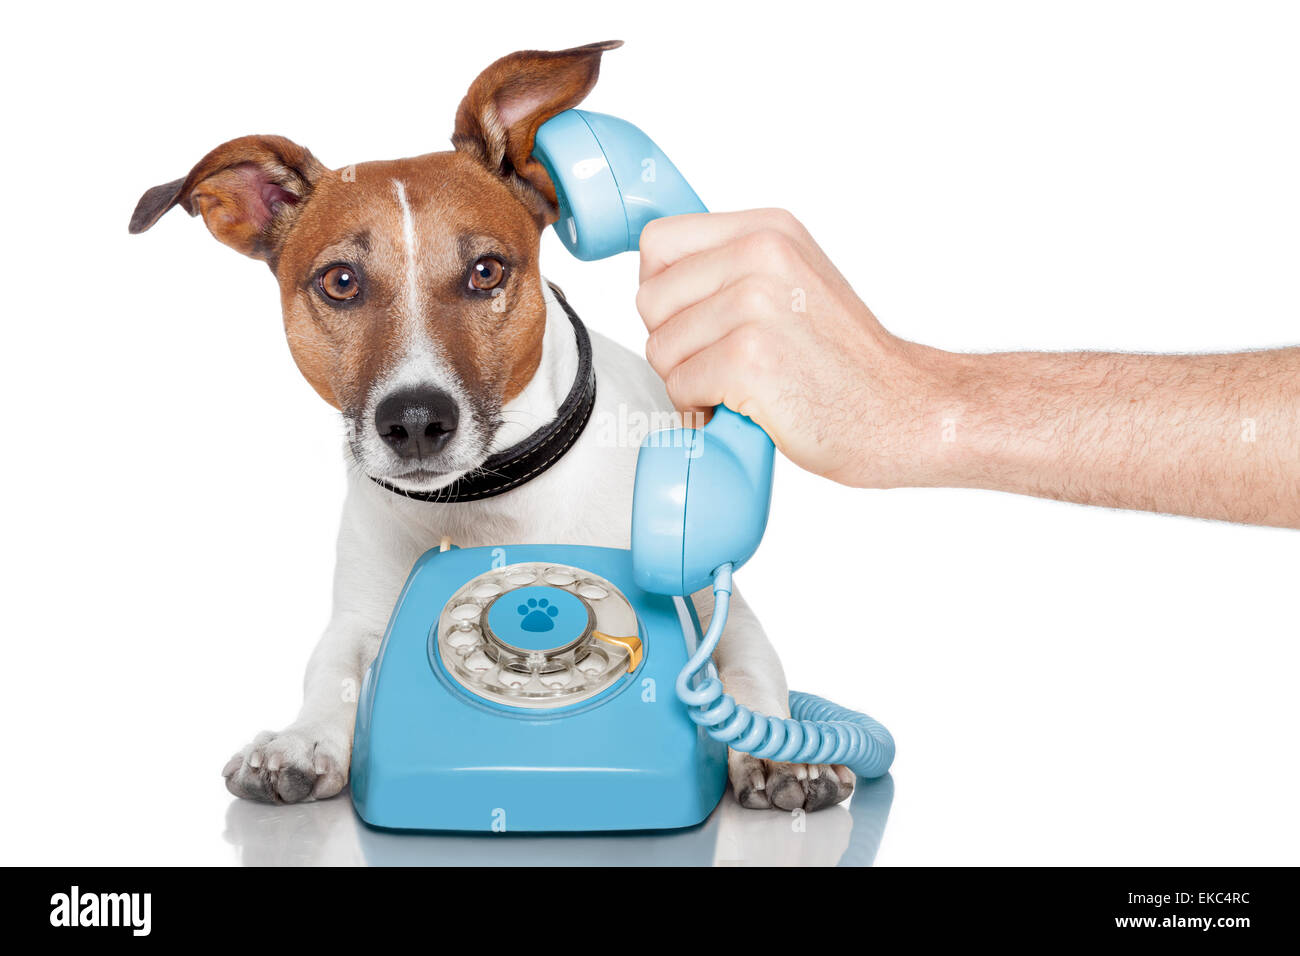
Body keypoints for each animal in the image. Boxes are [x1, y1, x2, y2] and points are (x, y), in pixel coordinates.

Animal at [131, 41, 857, 811]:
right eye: (340, 282)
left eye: (485, 271)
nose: (416, 420)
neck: (482, 505)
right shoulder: (358, 619)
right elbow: (335, 670)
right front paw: (298, 743)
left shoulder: (713, 608)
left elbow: (747, 672)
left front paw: (780, 756)